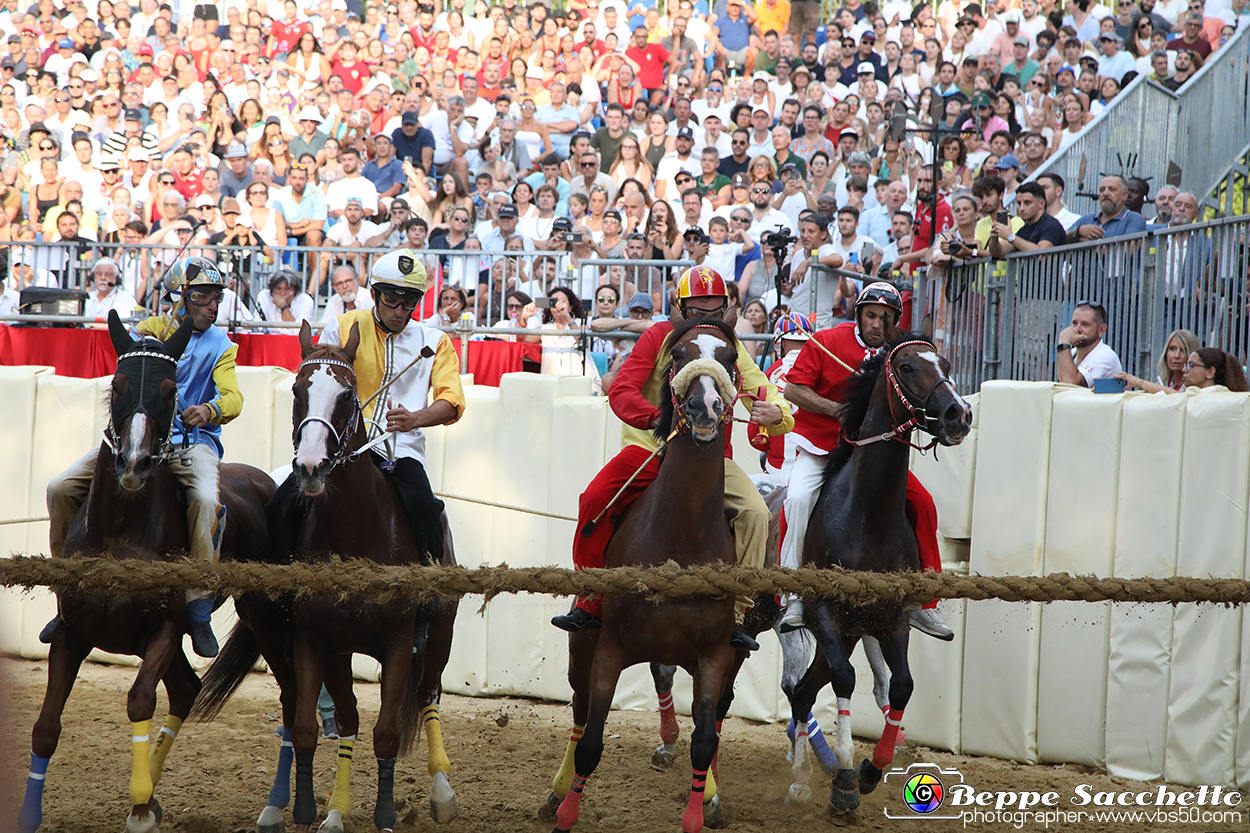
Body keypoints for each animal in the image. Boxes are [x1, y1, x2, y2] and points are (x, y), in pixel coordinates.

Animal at [18, 311, 276, 830]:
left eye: (170, 387)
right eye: (115, 384)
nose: (133, 463)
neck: (120, 536)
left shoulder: (164, 630)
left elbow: (140, 699)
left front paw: (138, 806)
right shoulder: (73, 634)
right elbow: (46, 725)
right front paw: (31, 814)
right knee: (187, 689)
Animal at [187, 318, 457, 830]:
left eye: (348, 395)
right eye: (297, 390)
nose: (311, 466)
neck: (356, 534)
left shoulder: (398, 644)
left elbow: (387, 732)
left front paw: (385, 813)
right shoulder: (319, 643)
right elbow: (314, 727)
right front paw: (317, 809)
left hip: (439, 635)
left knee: (428, 695)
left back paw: (441, 790)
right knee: (322, 712)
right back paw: (315, 807)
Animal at [545, 316, 750, 830]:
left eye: (730, 357)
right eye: (678, 355)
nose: (704, 406)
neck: (681, 543)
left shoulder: (715, 656)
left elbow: (705, 741)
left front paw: (699, 811)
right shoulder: (609, 651)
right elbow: (592, 741)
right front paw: (567, 813)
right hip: (582, 649)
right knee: (579, 717)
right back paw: (556, 793)